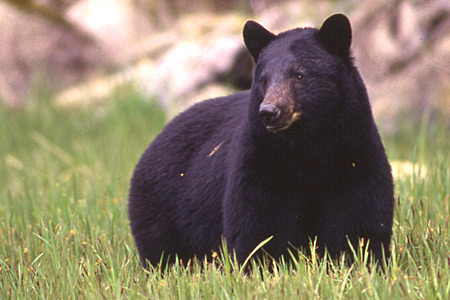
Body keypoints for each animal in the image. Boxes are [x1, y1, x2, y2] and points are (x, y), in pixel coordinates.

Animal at [127, 14, 394, 268]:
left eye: (299, 74)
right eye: (263, 79)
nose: (269, 111)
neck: (307, 146)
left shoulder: (353, 152)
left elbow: (357, 217)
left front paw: (358, 261)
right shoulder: (261, 159)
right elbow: (259, 223)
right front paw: (265, 265)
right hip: (163, 204)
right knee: (163, 249)